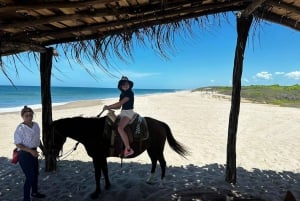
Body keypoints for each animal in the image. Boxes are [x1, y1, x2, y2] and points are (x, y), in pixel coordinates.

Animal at [49, 115, 188, 199]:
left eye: (52, 135)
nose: (52, 152)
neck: (92, 132)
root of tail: (160, 123)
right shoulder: (102, 157)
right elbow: (105, 171)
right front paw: (107, 186)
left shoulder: (97, 157)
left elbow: (97, 174)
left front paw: (96, 193)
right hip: (150, 150)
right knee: (154, 162)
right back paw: (149, 180)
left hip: (157, 149)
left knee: (163, 163)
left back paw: (161, 184)